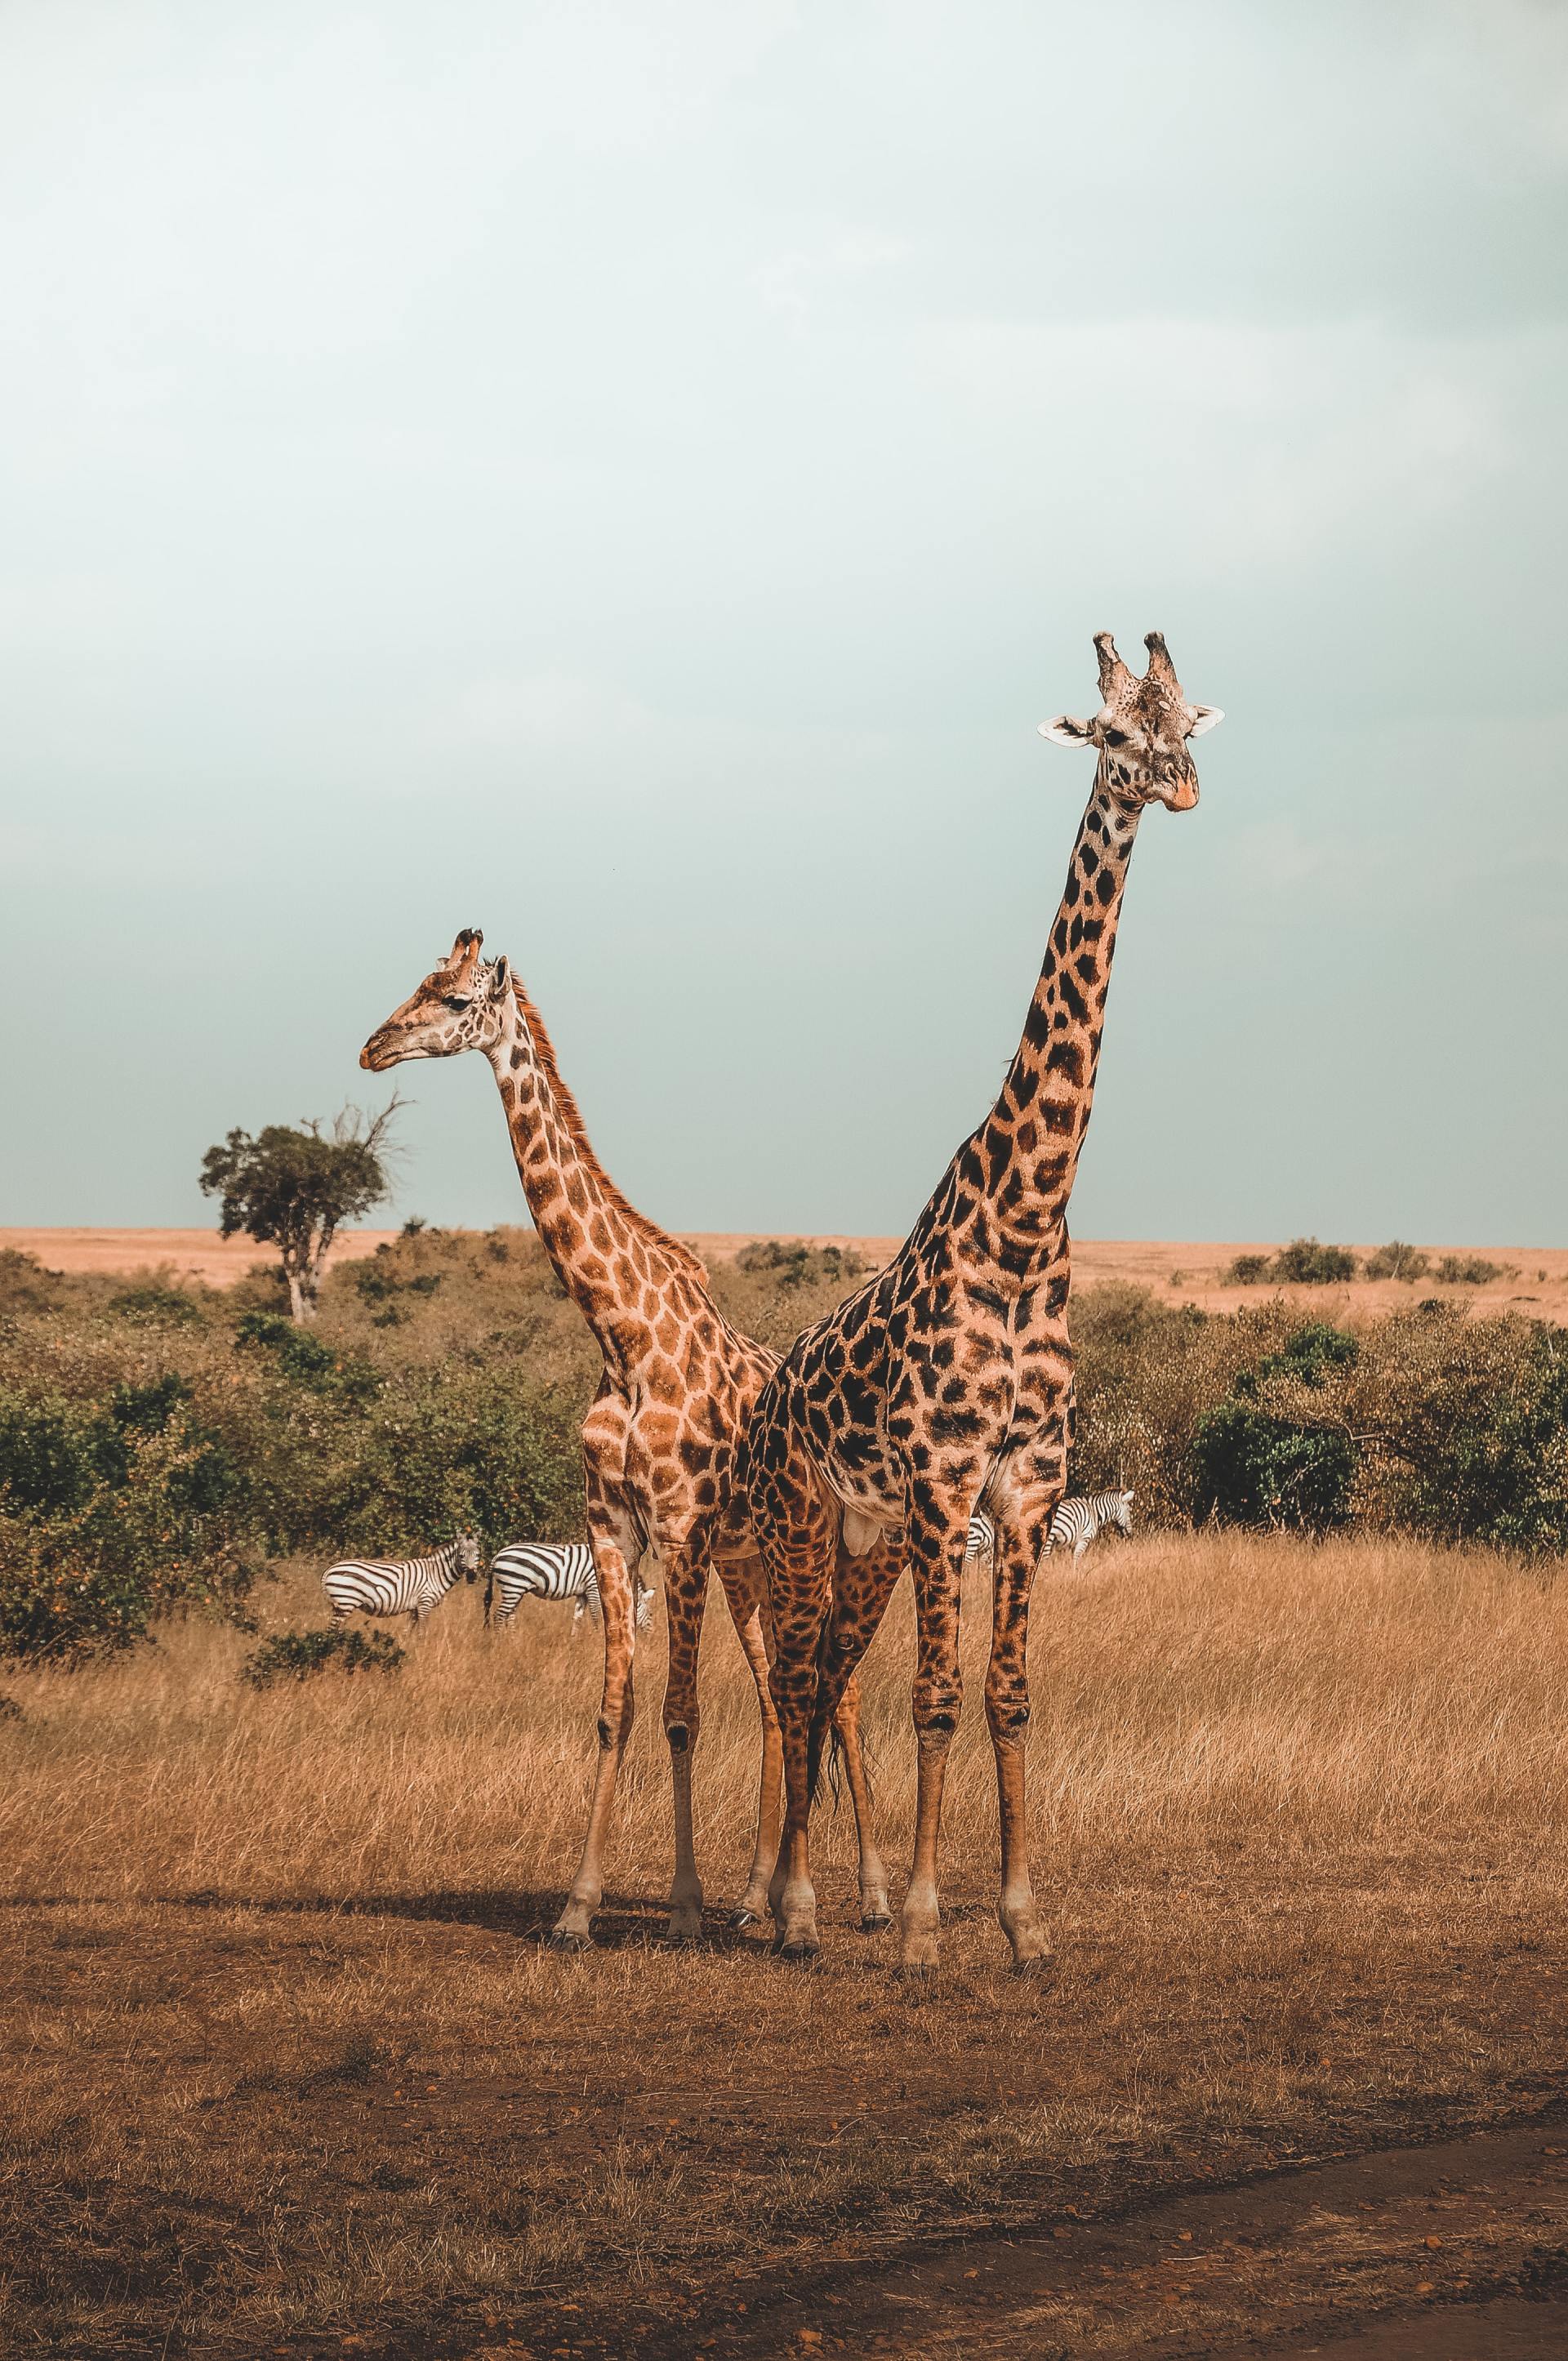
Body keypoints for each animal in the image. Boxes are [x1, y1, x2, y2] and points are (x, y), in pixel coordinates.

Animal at [360, 930, 893, 1948]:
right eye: (415, 982)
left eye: (452, 1000)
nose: (373, 1048)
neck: (622, 1335)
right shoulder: (614, 1528)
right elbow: (617, 1711)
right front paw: (578, 1906)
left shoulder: (680, 1530)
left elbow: (682, 1714)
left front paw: (680, 1906)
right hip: (749, 1566)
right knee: (779, 1697)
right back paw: (757, 1896)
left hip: (812, 1552)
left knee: (837, 1691)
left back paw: (874, 1897)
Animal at [742, 631, 1222, 1971]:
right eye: (1113, 733)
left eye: (1188, 725)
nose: (1180, 787)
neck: (1024, 1222)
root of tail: (773, 1390)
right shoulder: (945, 1482)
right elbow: (937, 1697)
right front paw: (918, 1926)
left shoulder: (1028, 1486)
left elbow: (1007, 1697)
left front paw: (1021, 1920)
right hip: (805, 1518)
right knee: (797, 1679)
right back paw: (787, 1907)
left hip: (861, 1538)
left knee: (827, 1678)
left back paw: (808, 1898)